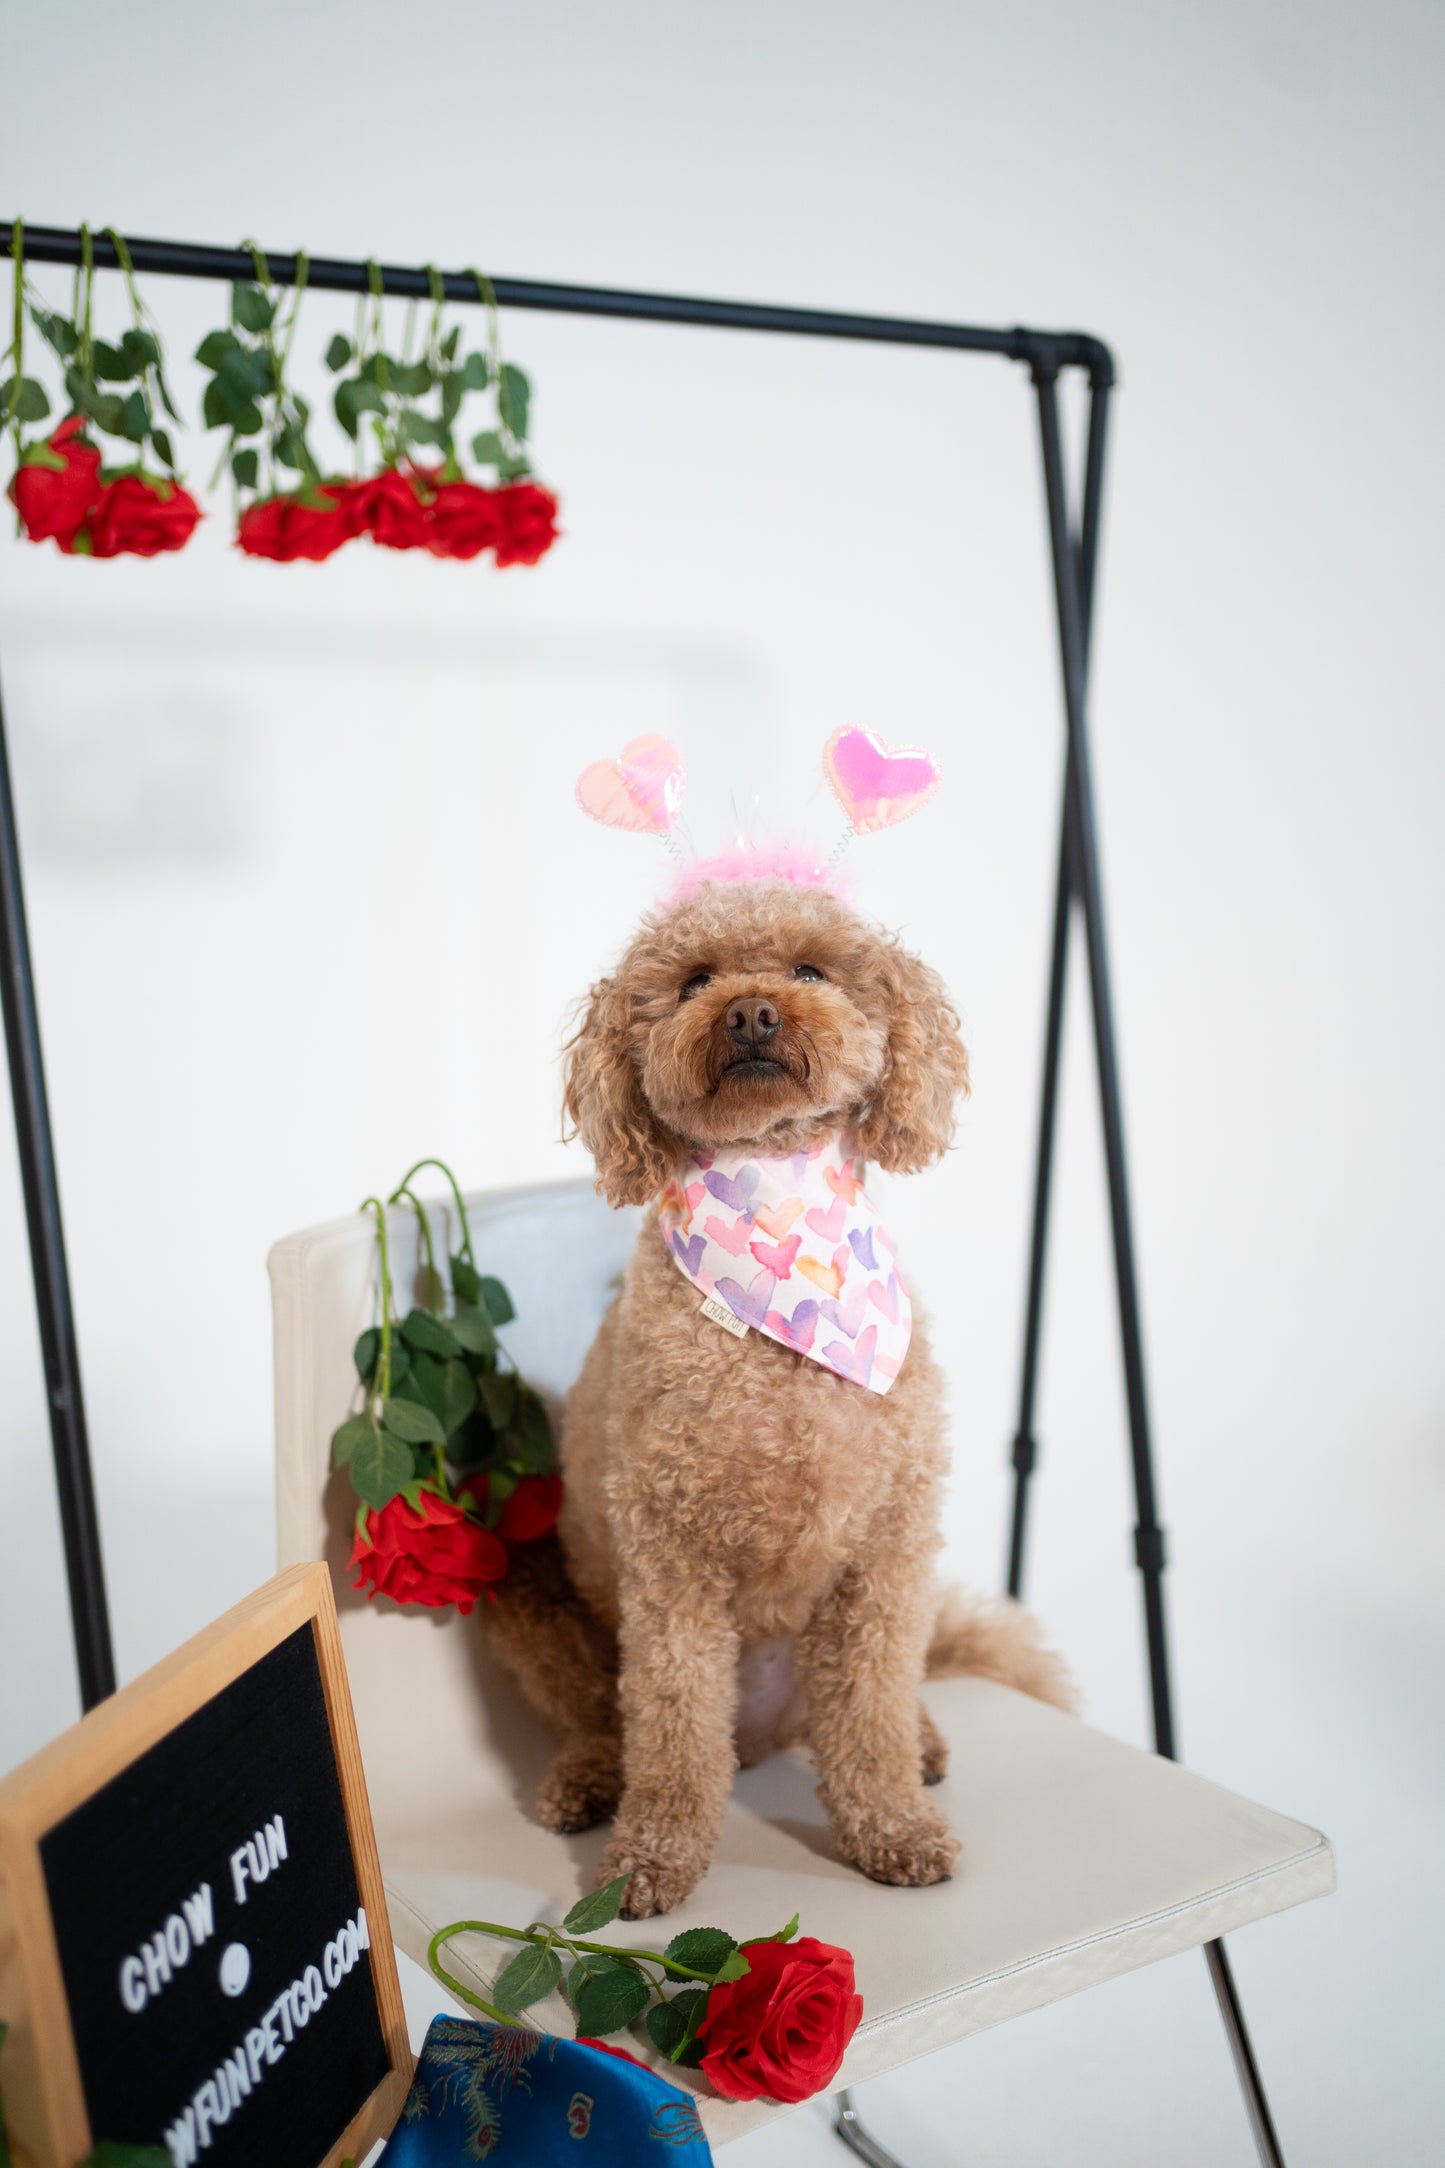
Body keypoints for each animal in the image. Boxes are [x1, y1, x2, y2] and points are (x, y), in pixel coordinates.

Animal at [489, 871, 1074, 1925]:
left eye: (809, 970)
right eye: (691, 981)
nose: (751, 1011)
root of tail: (762, 1737)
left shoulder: (886, 1550)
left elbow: (871, 1716)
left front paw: (894, 1831)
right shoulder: (672, 1564)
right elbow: (673, 1729)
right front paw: (651, 1862)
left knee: (875, 1703)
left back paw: (924, 1743)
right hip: (526, 1590)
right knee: (608, 1717)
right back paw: (589, 1782)